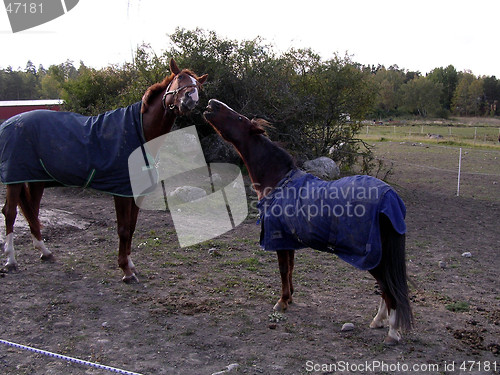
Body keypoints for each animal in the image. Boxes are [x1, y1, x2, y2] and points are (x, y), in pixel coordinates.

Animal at [0, 58, 207, 282]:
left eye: (198, 85)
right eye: (180, 78)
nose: (190, 98)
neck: (138, 131)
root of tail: (9, 123)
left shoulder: (137, 192)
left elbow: (132, 227)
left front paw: (131, 265)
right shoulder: (121, 191)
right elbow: (123, 229)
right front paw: (126, 271)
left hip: (34, 180)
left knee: (32, 211)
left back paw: (45, 252)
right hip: (14, 178)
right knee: (10, 213)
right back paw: (11, 261)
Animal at [203, 98, 414, 346]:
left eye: (239, 118)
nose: (212, 103)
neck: (279, 180)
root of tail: (390, 197)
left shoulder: (279, 239)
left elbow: (283, 269)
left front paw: (282, 301)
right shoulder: (289, 240)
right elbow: (291, 269)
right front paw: (290, 297)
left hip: (373, 258)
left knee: (389, 290)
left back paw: (392, 332)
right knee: (385, 288)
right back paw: (378, 321)